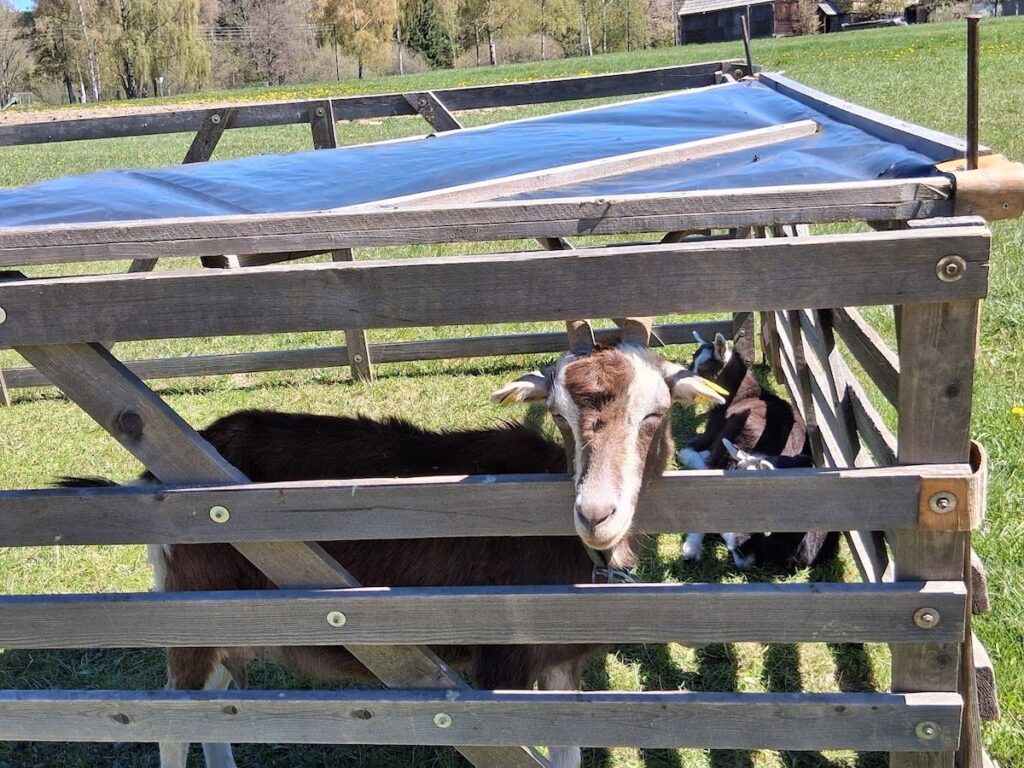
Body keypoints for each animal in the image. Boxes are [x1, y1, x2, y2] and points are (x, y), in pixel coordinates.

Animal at [66, 318, 724, 768]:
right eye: (560, 415)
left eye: (654, 415)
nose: (596, 513)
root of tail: (152, 478)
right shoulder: (500, 663)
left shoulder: (560, 662)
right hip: (193, 616)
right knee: (172, 721)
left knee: (215, 707)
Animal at [677, 332, 808, 566]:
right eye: (693, 359)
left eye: (704, 368)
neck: (743, 394)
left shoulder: (710, 435)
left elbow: (688, 453)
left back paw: (691, 549)